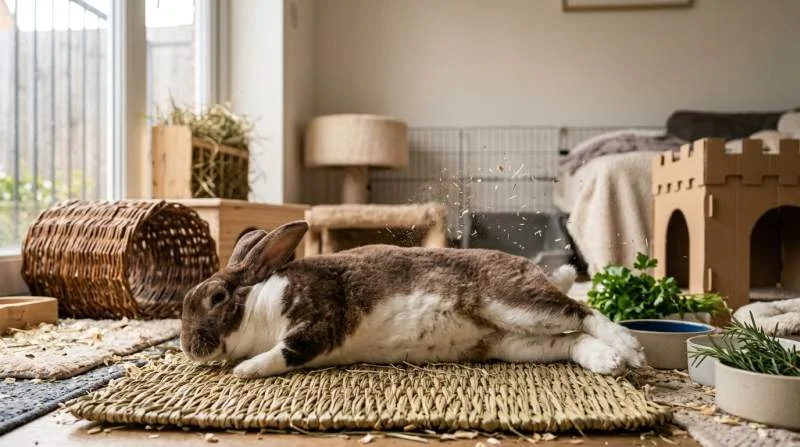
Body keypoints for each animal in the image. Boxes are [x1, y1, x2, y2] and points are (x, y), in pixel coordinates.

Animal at [181, 220, 646, 379]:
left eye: (217, 297)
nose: (185, 347)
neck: (260, 306)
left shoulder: (321, 320)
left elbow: (287, 351)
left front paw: (243, 370)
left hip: (513, 303)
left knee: (583, 312)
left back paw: (630, 349)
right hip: (512, 343)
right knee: (570, 340)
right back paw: (607, 362)